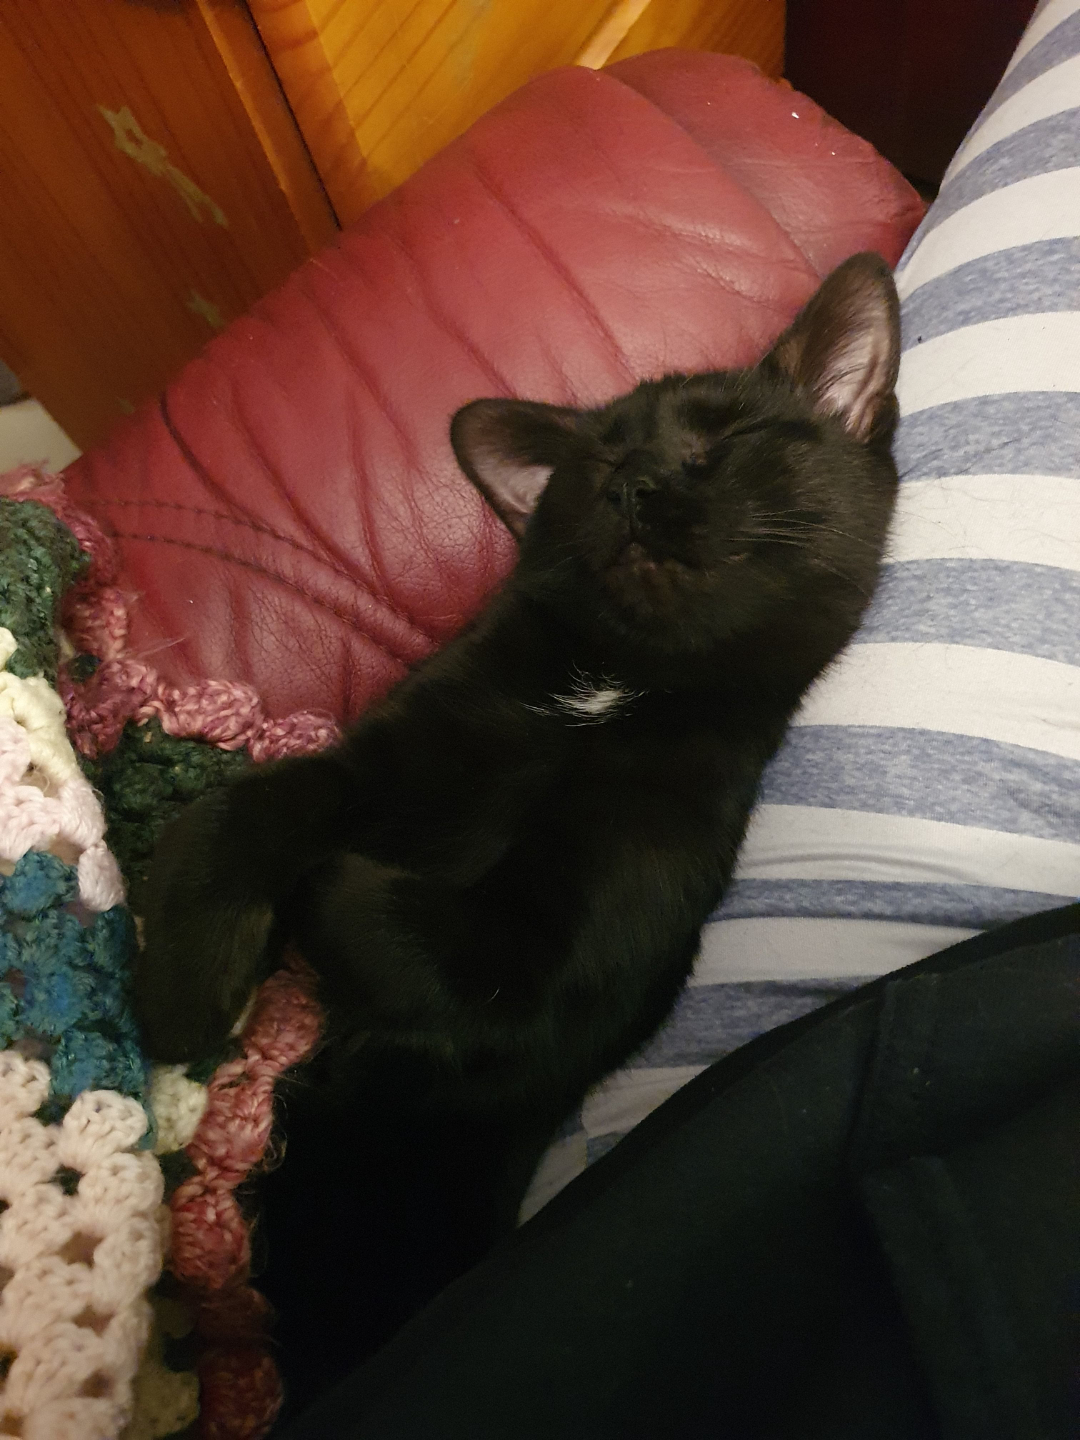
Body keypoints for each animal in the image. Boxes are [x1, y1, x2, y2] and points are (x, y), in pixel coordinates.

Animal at [135, 251, 901, 1416]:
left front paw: (289, 967)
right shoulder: (393, 749)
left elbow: (381, 906)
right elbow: (250, 803)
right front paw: (184, 986)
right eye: (595, 468)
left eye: (719, 441)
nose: (635, 487)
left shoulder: (552, 964)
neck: (621, 686)